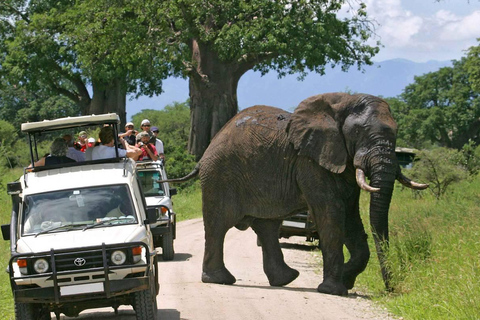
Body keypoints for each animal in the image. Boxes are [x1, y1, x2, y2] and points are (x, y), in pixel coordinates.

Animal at [165, 92, 428, 296]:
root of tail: (205, 153)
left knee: (267, 226)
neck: (343, 102)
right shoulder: (310, 162)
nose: (390, 289)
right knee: (219, 224)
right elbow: (332, 214)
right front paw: (334, 290)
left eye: (397, 132)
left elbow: (351, 217)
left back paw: (285, 279)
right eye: (358, 132)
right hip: (220, 175)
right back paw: (220, 280)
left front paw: (346, 280)